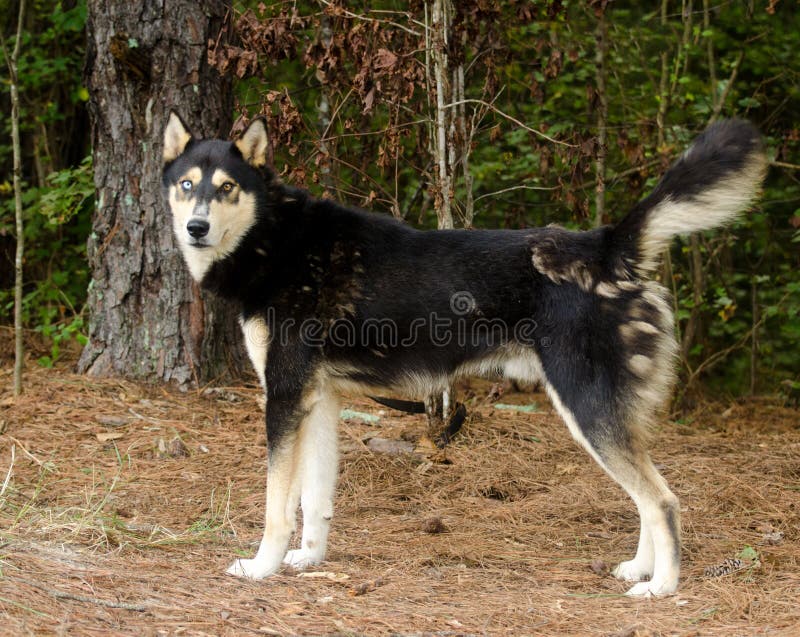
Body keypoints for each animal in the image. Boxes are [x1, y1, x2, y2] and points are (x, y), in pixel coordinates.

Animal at [159, 113, 764, 596]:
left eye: (227, 188)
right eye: (187, 184)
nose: (196, 227)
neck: (277, 239)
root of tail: (605, 246)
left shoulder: (284, 398)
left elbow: (277, 508)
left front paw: (263, 566)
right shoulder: (320, 400)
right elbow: (315, 499)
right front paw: (308, 560)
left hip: (587, 409)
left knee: (662, 500)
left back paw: (662, 587)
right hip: (605, 415)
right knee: (644, 496)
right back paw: (641, 569)